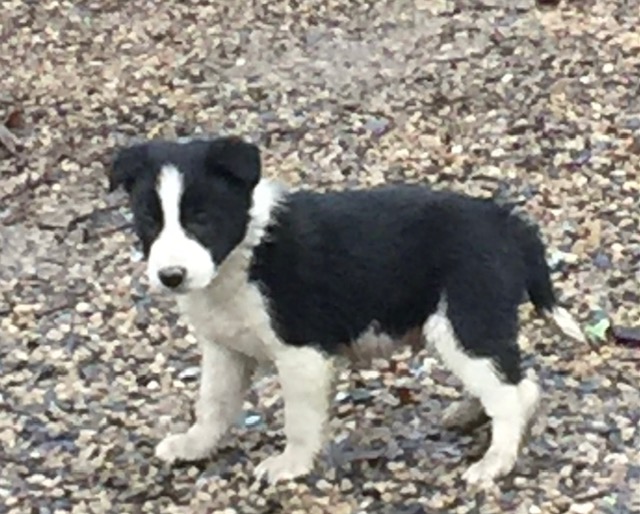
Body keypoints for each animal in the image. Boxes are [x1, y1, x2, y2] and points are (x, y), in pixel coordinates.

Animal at [108, 135, 585, 487]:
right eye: (149, 221)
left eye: (202, 219)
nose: (170, 276)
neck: (244, 252)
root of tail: (510, 224)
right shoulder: (225, 349)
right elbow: (213, 404)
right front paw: (194, 446)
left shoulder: (301, 352)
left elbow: (300, 419)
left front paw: (290, 465)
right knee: (514, 382)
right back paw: (472, 416)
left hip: (465, 321)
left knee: (510, 393)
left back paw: (495, 461)